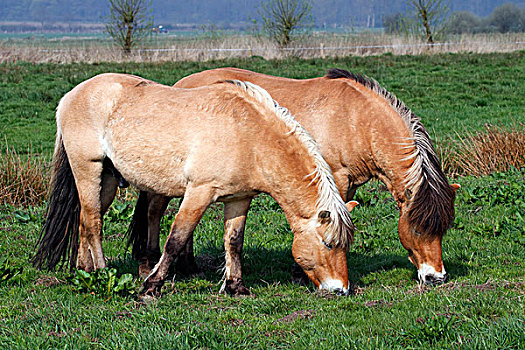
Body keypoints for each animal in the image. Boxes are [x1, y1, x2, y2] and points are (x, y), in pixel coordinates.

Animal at [32, 73, 356, 296]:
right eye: (328, 244)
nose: (340, 289)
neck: (248, 134)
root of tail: (71, 95)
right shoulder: (199, 192)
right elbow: (176, 238)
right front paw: (151, 286)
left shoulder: (239, 199)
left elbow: (234, 241)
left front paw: (235, 287)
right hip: (88, 168)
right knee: (93, 221)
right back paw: (101, 272)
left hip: (108, 178)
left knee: (85, 219)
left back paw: (83, 270)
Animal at [128, 67, 458, 284]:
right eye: (418, 228)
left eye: (443, 229)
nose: (436, 277)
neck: (357, 119)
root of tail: (180, 84)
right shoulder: (335, 179)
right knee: (155, 212)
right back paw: (149, 265)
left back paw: (189, 265)